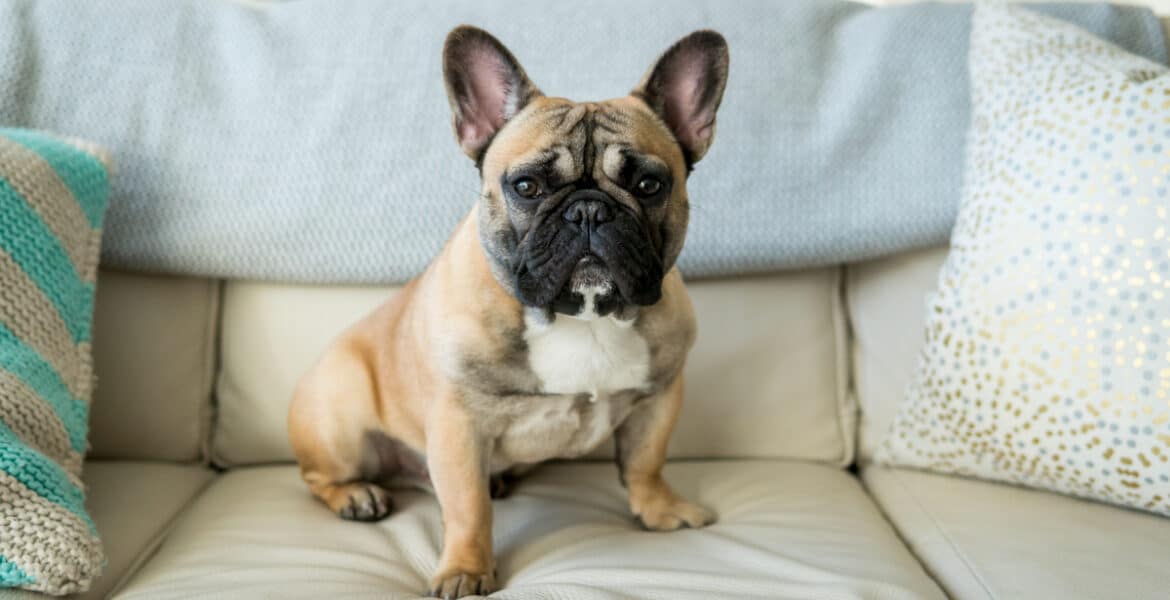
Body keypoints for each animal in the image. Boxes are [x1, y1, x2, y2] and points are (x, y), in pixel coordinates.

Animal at [287, 24, 725, 598]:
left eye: (649, 185)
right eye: (527, 186)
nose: (589, 209)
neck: (581, 316)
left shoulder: (661, 394)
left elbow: (645, 461)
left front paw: (659, 509)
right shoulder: (459, 423)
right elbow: (468, 506)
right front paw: (466, 569)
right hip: (338, 413)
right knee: (318, 476)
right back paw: (357, 495)